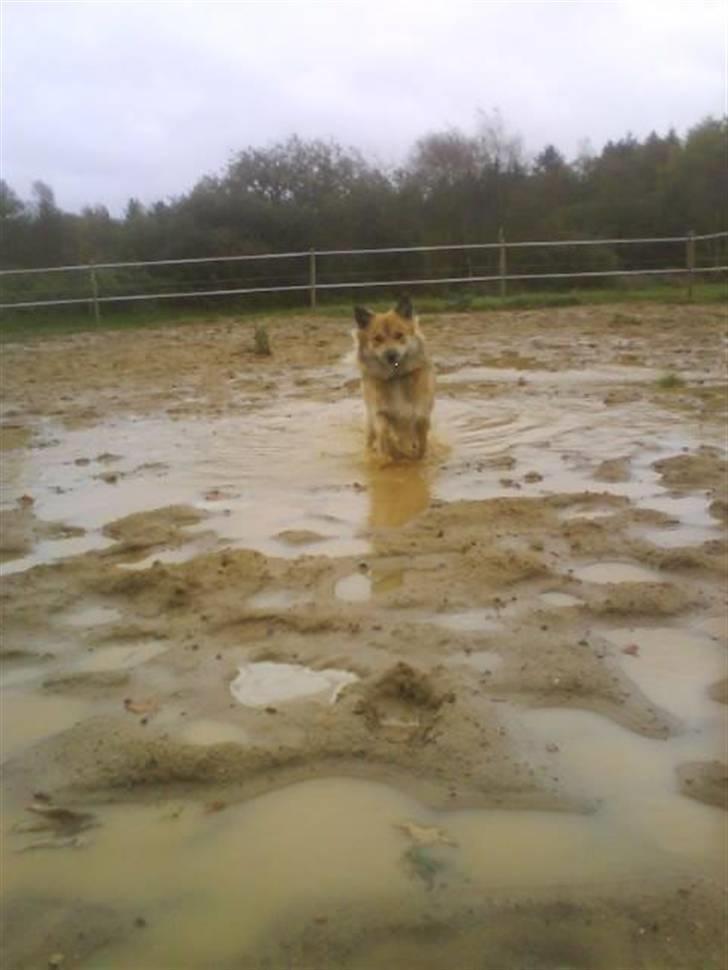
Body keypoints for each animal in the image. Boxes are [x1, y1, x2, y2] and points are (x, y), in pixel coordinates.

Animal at [352, 294, 432, 462]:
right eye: (377, 338)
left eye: (399, 335)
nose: (391, 355)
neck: (396, 378)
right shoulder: (380, 411)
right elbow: (384, 431)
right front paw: (389, 452)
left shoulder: (420, 411)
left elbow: (420, 439)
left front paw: (417, 454)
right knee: (371, 439)